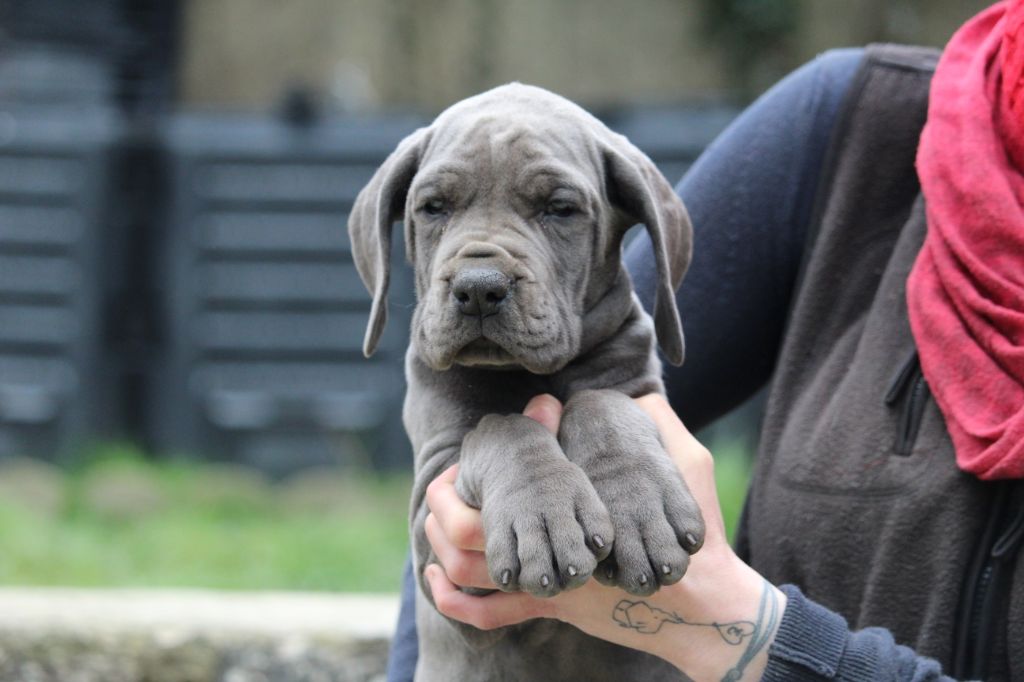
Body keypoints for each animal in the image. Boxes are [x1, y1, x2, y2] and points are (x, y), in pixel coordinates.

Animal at [352, 83, 704, 679]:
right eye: (433, 207)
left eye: (559, 208)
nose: (478, 288)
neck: (521, 374)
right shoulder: (436, 538)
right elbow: (501, 427)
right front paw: (541, 513)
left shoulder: (643, 392)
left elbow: (602, 402)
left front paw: (641, 505)